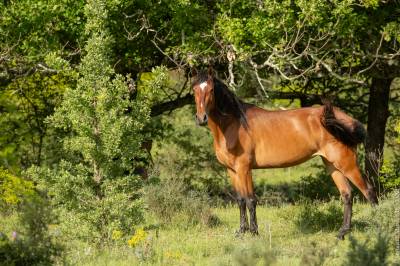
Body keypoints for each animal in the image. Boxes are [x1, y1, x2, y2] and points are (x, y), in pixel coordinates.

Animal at [193, 68, 378, 239]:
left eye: (211, 90)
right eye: (194, 89)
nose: (201, 118)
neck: (234, 125)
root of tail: (342, 118)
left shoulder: (244, 168)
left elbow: (251, 200)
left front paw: (254, 232)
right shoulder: (232, 170)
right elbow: (240, 200)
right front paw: (241, 232)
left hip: (347, 163)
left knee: (368, 191)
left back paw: (378, 226)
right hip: (332, 165)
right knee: (347, 194)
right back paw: (342, 233)